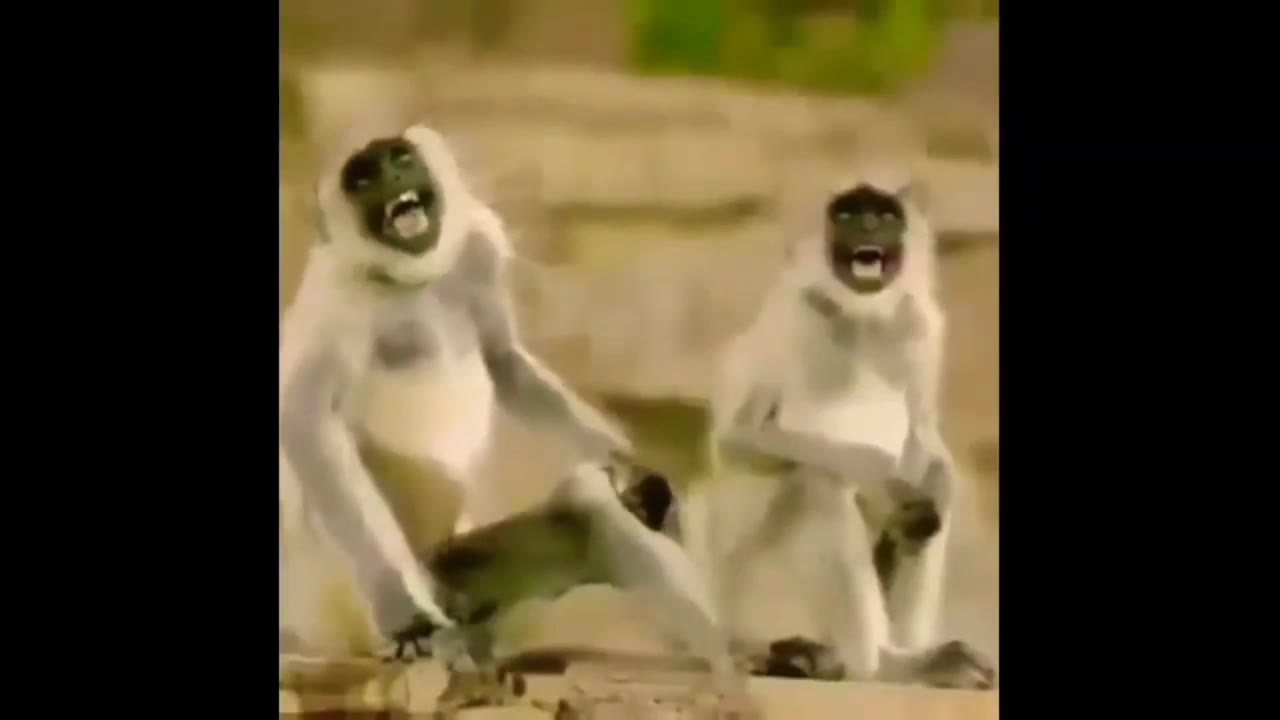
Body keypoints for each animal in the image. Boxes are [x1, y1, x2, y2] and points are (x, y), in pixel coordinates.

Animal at [279, 124, 634, 662]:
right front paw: (405, 617)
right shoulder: (339, 295)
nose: (390, 177)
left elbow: (503, 359)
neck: (414, 282)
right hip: (323, 595)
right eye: (362, 178)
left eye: (399, 158)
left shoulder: (480, 248)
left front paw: (626, 467)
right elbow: (303, 419)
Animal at [677, 178, 996, 690]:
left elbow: (926, 440)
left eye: (883, 215)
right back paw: (875, 665)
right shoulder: (793, 312)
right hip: (737, 580)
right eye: (848, 214)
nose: (865, 226)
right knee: (818, 478)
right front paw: (883, 480)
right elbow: (738, 439)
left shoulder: (923, 326)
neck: (863, 317)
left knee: (933, 494)